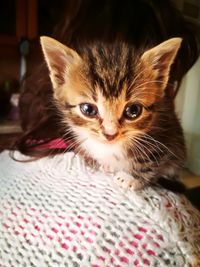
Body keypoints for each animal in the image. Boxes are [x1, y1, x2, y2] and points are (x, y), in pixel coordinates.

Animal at [39, 36, 185, 192]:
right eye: (88, 109)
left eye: (133, 110)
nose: (110, 134)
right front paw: (109, 164)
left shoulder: (164, 137)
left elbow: (150, 161)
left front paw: (130, 178)